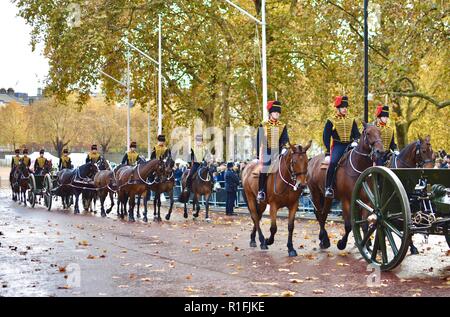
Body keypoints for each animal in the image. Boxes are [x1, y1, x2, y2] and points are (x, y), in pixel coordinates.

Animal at [308, 122, 384, 251]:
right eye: (368, 133)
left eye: (379, 132)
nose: (380, 151)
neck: (359, 167)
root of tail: (312, 160)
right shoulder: (346, 200)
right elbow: (349, 225)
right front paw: (341, 243)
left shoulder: (366, 201)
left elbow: (364, 224)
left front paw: (366, 245)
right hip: (316, 194)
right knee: (319, 215)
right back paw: (324, 239)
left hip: (328, 198)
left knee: (323, 214)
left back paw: (324, 240)